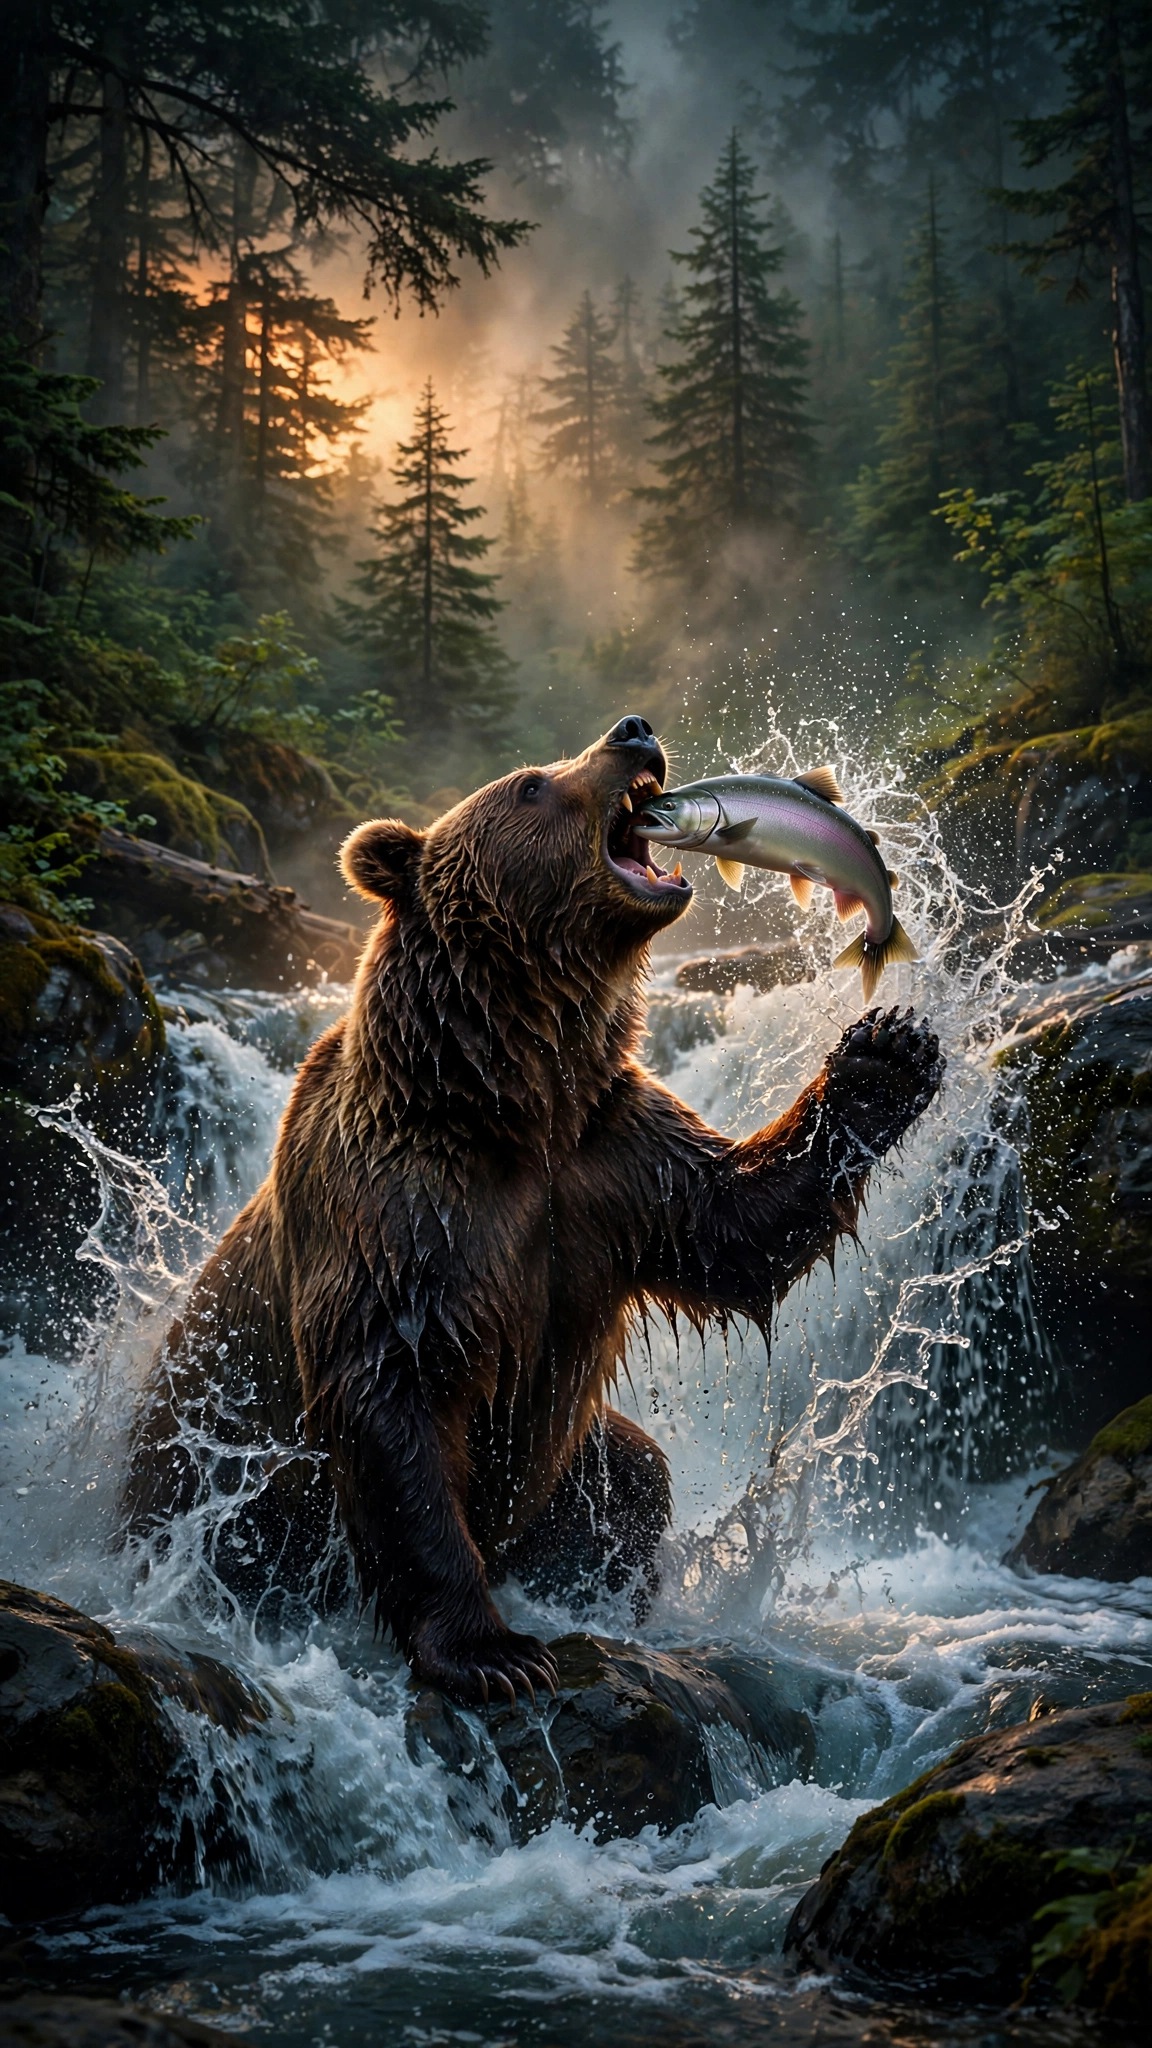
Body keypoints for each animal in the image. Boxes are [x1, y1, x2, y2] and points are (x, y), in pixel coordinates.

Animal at [122, 715, 943, 1703]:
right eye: (530, 785)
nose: (634, 731)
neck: (508, 1091)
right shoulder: (406, 1206)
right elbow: (394, 1400)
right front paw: (492, 1651)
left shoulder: (609, 1158)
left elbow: (734, 1227)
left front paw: (888, 1050)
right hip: (211, 1455)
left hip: (572, 1460)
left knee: (636, 1477)